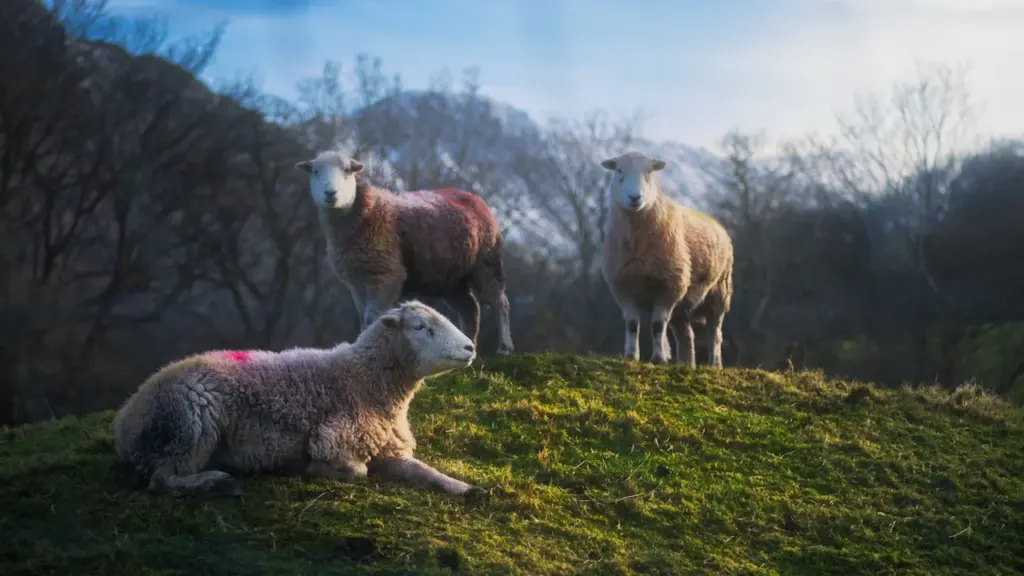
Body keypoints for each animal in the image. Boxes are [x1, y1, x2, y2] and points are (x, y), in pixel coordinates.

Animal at [112, 300, 489, 502]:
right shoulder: (333, 440)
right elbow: (358, 471)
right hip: (191, 426)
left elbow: (429, 473)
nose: (470, 347)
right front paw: (311, 469)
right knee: (162, 480)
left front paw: (471, 490)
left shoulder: (389, 449)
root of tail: (126, 419)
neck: (363, 380)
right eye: (421, 327)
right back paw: (217, 482)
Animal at [295, 150, 514, 356]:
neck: (367, 213)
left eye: (347, 171)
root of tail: (473, 197)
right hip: (450, 277)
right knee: (470, 308)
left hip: (487, 262)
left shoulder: (387, 275)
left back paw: (505, 347)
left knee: (499, 302)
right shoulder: (355, 281)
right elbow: (362, 318)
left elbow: (373, 317)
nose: (330, 193)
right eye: (315, 171)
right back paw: (470, 346)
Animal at [599, 150, 734, 367]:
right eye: (619, 170)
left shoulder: (670, 286)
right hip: (683, 305)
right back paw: (687, 364)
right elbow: (632, 324)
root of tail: (717, 223)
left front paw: (659, 358)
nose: (635, 197)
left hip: (719, 293)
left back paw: (714, 364)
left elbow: (657, 325)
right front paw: (631, 356)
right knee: (686, 335)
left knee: (715, 333)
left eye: (649, 172)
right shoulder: (622, 286)